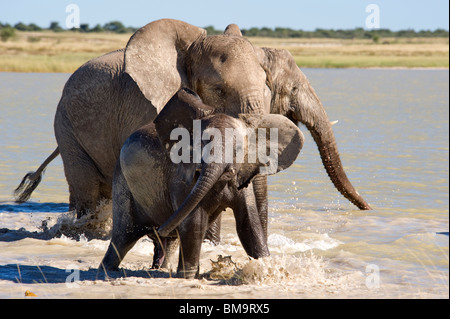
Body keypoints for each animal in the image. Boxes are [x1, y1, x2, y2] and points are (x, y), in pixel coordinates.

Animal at [15, 17, 370, 239]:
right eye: (219, 90)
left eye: (268, 88)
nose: (369, 209)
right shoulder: (147, 105)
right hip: (65, 124)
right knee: (87, 190)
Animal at [100, 89, 304, 278]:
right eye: (200, 145)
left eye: (238, 149)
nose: (160, 228)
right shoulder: (181, 179)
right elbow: (194, 222)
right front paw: (188, 277)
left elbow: (249, 224)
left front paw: (268, 269)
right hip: (122, 183)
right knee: (123, 237)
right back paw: (106, 270)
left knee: (166, 241)